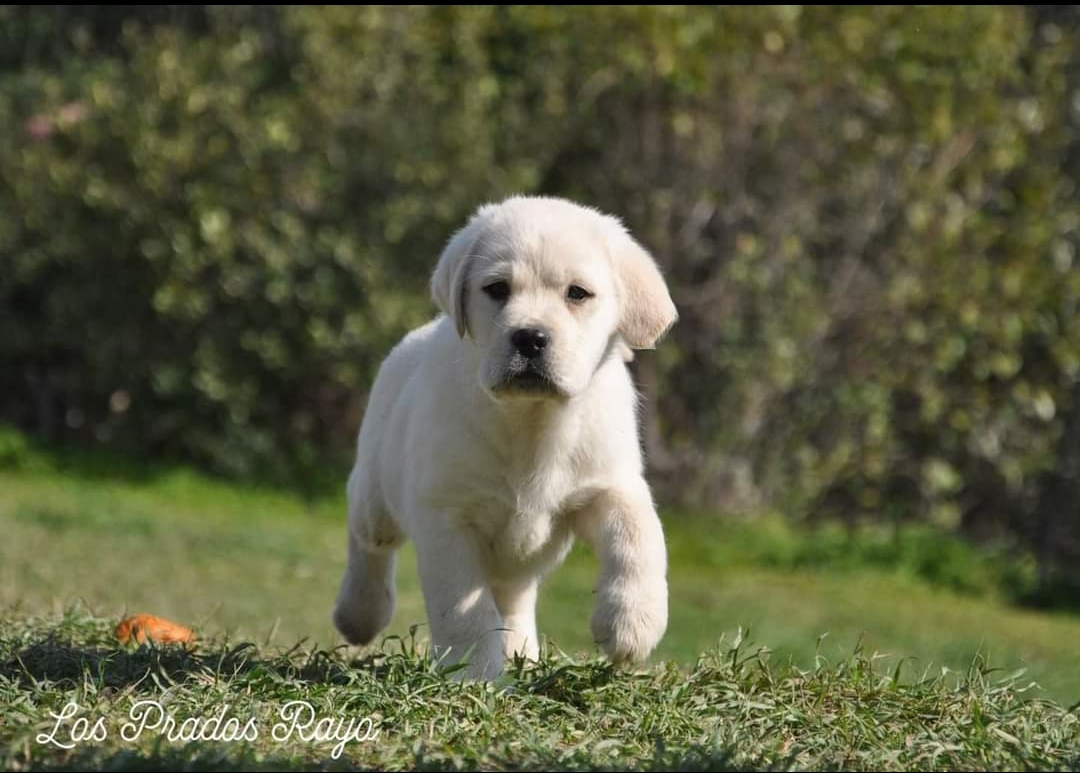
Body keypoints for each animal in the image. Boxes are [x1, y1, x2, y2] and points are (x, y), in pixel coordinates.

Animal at [332, 196, 678, 677]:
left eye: (577, 293)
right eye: (497, 289)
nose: (530, 338)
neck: (531, 421)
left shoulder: (609, 484)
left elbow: (639, 538)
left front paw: (632, 623)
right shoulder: (447, 518)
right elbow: (464, 609)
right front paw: (475, 672)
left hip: (521, 558)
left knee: (514, 596)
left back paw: (521, 650)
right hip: (376, 496)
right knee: (367, 541)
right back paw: (359, 613)